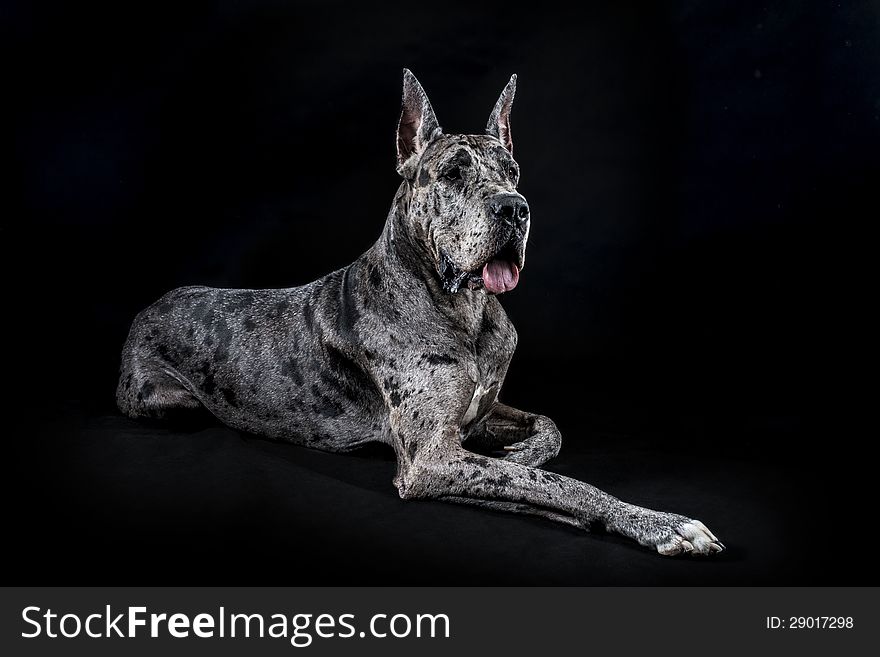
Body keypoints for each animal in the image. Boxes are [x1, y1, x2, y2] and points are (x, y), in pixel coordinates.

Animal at [117, 70, 720, 552]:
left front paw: (521, 452)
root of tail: (152, 303)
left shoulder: (476, 414)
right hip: (162, 402)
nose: (514, 208)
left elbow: (547, 430)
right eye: (453, 173)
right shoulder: (431, 458)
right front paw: (660, 522)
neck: (462, 308)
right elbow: (562, 485)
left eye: (513, 171)